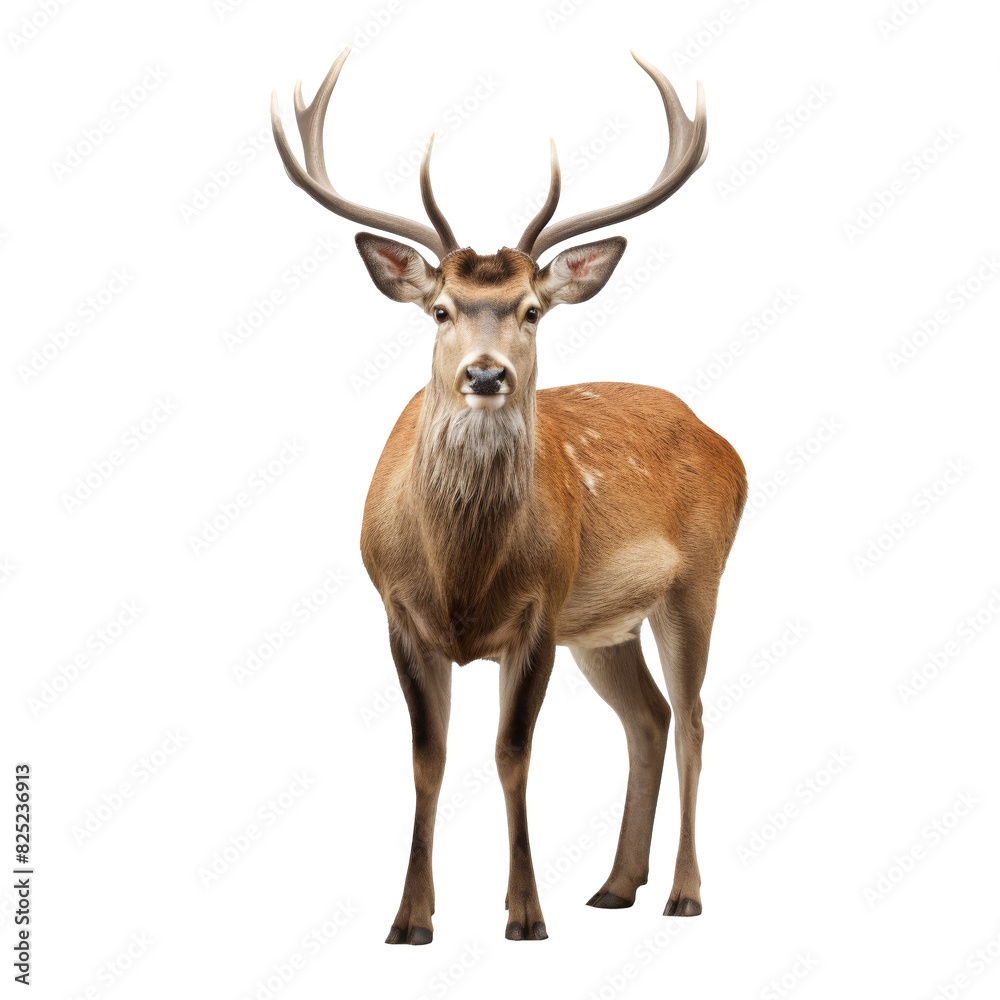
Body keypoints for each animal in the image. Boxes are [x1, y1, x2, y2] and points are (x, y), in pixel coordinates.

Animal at [271, 47, 747, 944]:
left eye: (531, 310)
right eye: (439, 309)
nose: (485, 375)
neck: (461, 572)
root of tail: (727, 446)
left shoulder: (538, 611)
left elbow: (511, 752)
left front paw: (525, 914)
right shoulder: (399, 611)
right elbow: (428, 757)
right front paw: (410, 919)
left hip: (696, 580)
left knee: (696, 716)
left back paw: (683, 892)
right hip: (603, 624)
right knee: (649, 717)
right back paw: (614, 885)